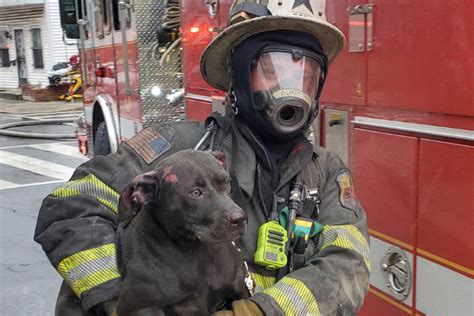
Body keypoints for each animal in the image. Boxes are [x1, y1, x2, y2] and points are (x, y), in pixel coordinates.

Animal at [115, 149, 248, 314]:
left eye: (227, 181)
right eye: (195, 193)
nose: (240, 218)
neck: (197, 253)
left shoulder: (239, 288)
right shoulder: (137, 307)